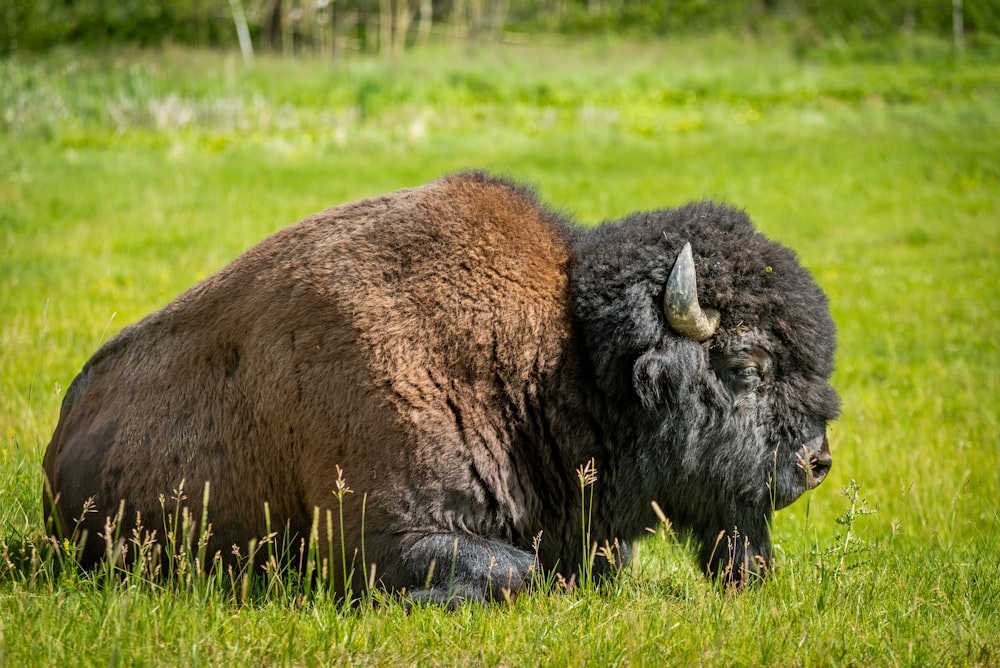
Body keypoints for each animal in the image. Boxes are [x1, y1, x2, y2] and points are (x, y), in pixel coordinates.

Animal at [41, 170, 836, 604]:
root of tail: (60, 437)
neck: (554, 360)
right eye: (749, 365)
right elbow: (516, 571)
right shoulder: (386, 536)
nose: (817, 460)